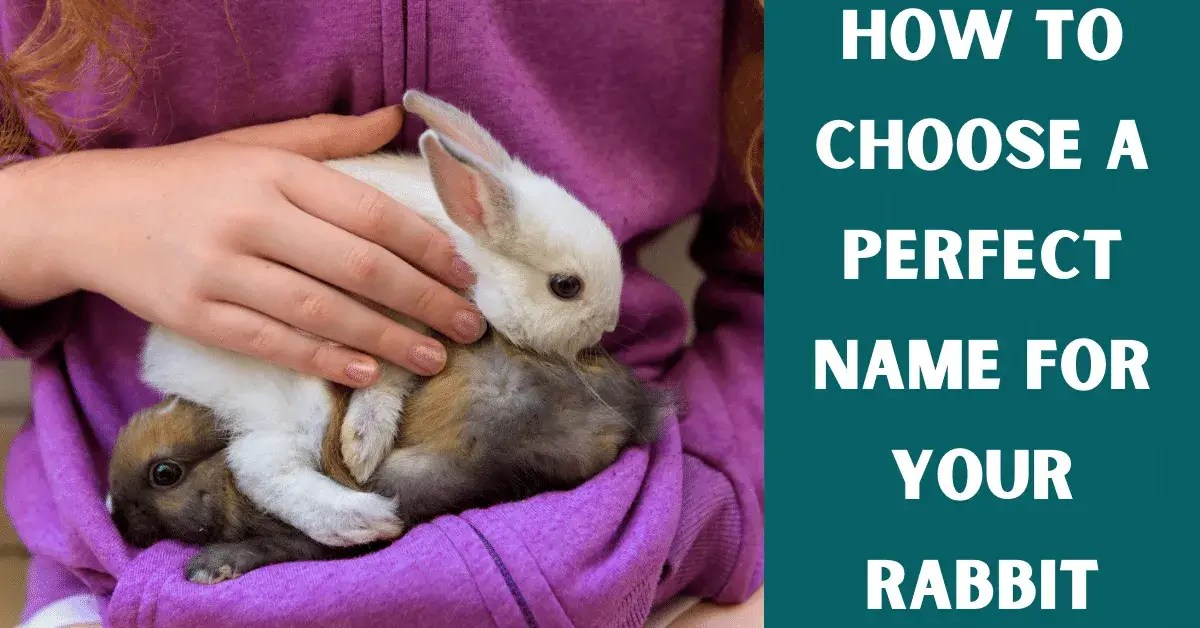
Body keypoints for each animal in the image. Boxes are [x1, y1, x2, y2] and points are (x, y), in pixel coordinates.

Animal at [138, 91, 626, 547]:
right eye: (566, 286)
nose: (609, 325)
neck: (468, 251)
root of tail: (163, 361)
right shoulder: (399, 329)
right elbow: (382, 384)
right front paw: (363, 448)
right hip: (288, 392)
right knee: (258, 465)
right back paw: (359, 519)